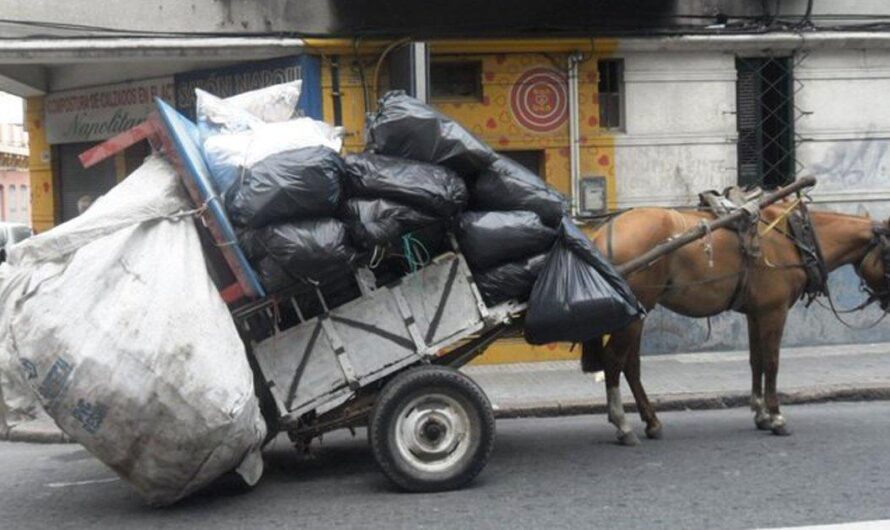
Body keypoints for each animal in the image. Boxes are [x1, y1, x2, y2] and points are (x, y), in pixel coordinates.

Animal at [584, 204, 888, 444]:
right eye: (889, 255)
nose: (887, 304)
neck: (794, 239)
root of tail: (602, 234)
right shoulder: (775, 311)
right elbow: (772, 363)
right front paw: (777, 417)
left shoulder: (756, 312)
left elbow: (756, 361)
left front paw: (761, 414)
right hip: (635, 312)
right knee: (614, 360)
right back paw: (623, 425)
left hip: (639, 312)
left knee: (631, 365)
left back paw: (652, 422)